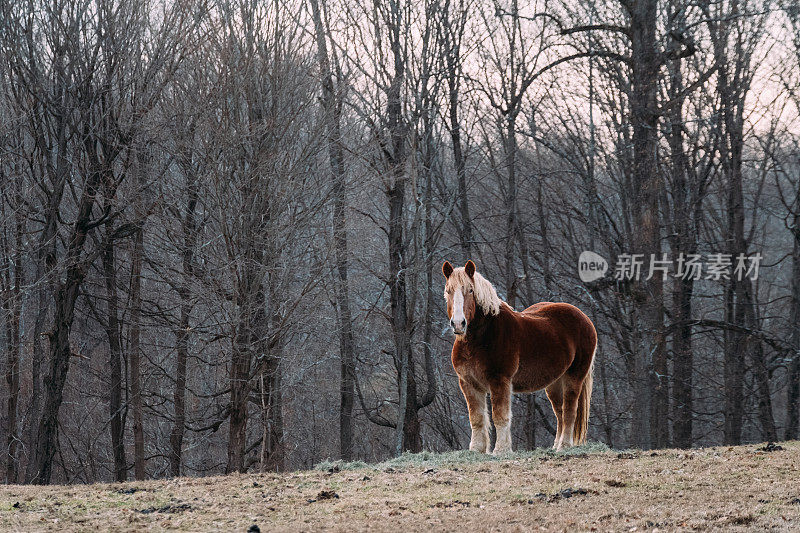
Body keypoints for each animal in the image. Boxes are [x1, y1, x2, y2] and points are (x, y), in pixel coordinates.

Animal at [440, 260, 596, 450]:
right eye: (448, 291)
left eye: (470, 290)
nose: (458, 323)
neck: (479, 339)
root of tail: (585, 318)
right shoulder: (468, 383)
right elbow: (477, 419)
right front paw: (477, 450)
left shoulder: (500, 381)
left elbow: (500, 417)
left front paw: (501, 450)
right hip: (555, 382)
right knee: (559, 413)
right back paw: (555, 447)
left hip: (574, 377)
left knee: (569, 412)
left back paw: (564, 446)